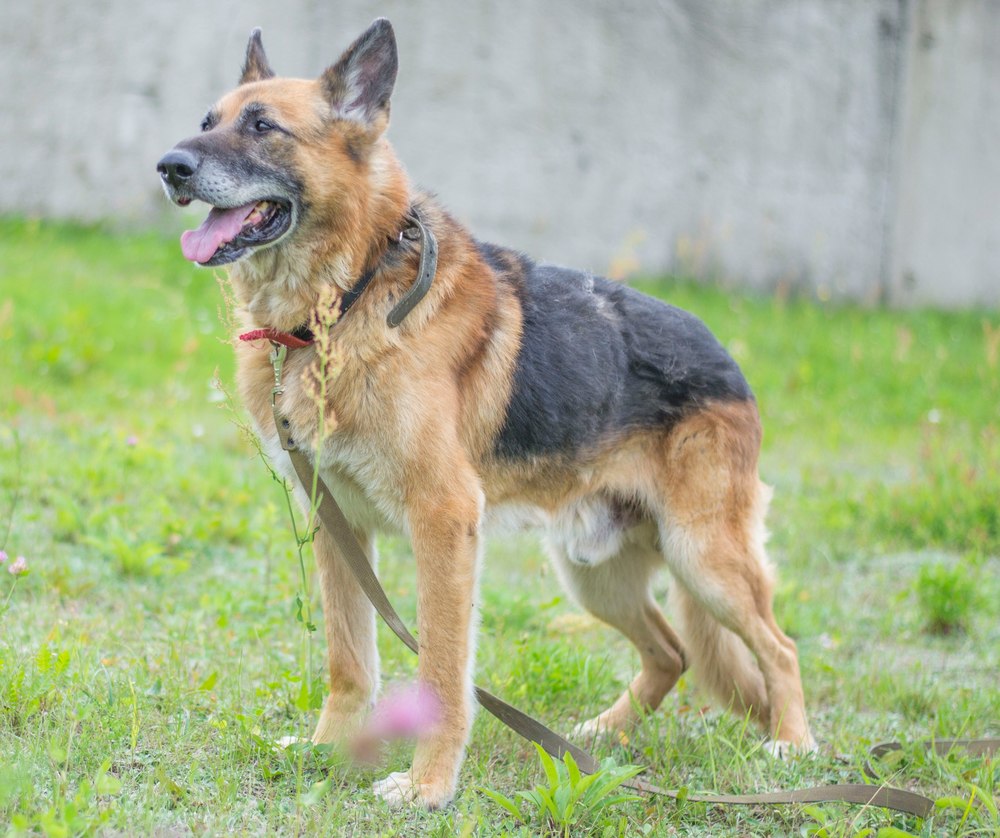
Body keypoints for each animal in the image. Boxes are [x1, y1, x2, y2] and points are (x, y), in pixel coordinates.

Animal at [156, 18, 812, 808]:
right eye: (206, 122)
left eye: (262, 127)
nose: (168, 167)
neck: (345, 300)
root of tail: (726, 359)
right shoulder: (336, 524)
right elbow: (350, 658)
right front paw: (328, 751)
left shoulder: (443, 522)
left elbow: (440, 670)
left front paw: (428, 786)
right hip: (594, 572)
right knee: (672, 652)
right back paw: (601, 739)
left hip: (704, 557)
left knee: (779, 646)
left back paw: (792, 743)